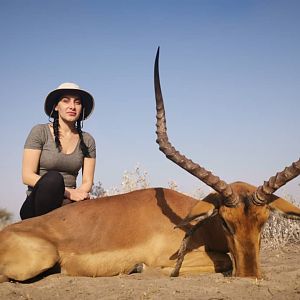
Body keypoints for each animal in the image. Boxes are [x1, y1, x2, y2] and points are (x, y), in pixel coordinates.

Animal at [0, 48, 298, 282]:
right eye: (225, 222)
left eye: (264, 221)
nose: (250, 276)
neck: (193, 225)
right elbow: (220, 261)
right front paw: (140, 268)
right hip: (39, 260)